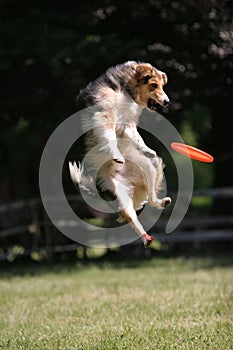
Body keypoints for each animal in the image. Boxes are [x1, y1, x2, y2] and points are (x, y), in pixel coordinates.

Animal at [68, 60, 171, 246]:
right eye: (153, 85)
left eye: (162, 85)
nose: (167, 102)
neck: (127, 89)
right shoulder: (103, 115)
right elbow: (109, 138)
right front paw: (116, 155)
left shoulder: (127, 124)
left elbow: (137, 139)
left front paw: (147, 149)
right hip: (118, 194)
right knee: (130, 217)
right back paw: (145, 237)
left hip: (149, 168)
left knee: (151, 198)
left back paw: (161, 204)